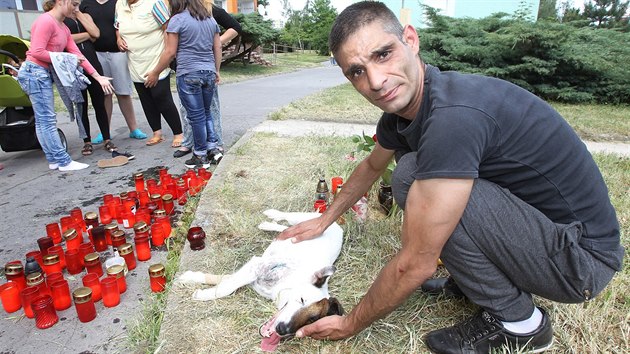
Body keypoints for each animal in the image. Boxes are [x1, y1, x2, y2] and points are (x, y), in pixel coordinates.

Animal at [178, 210, 346, 352]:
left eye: (312, 320)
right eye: (302, 299)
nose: (283, 330)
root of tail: (338, 227)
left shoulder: (250, 272)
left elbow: (225, 281)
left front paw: (196, 283)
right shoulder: (256, 266)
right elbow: (226, 287)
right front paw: (199, 288)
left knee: (287, 229)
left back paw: (269, 225)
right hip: (304, 220)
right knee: (289, 220)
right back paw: (272, 216)